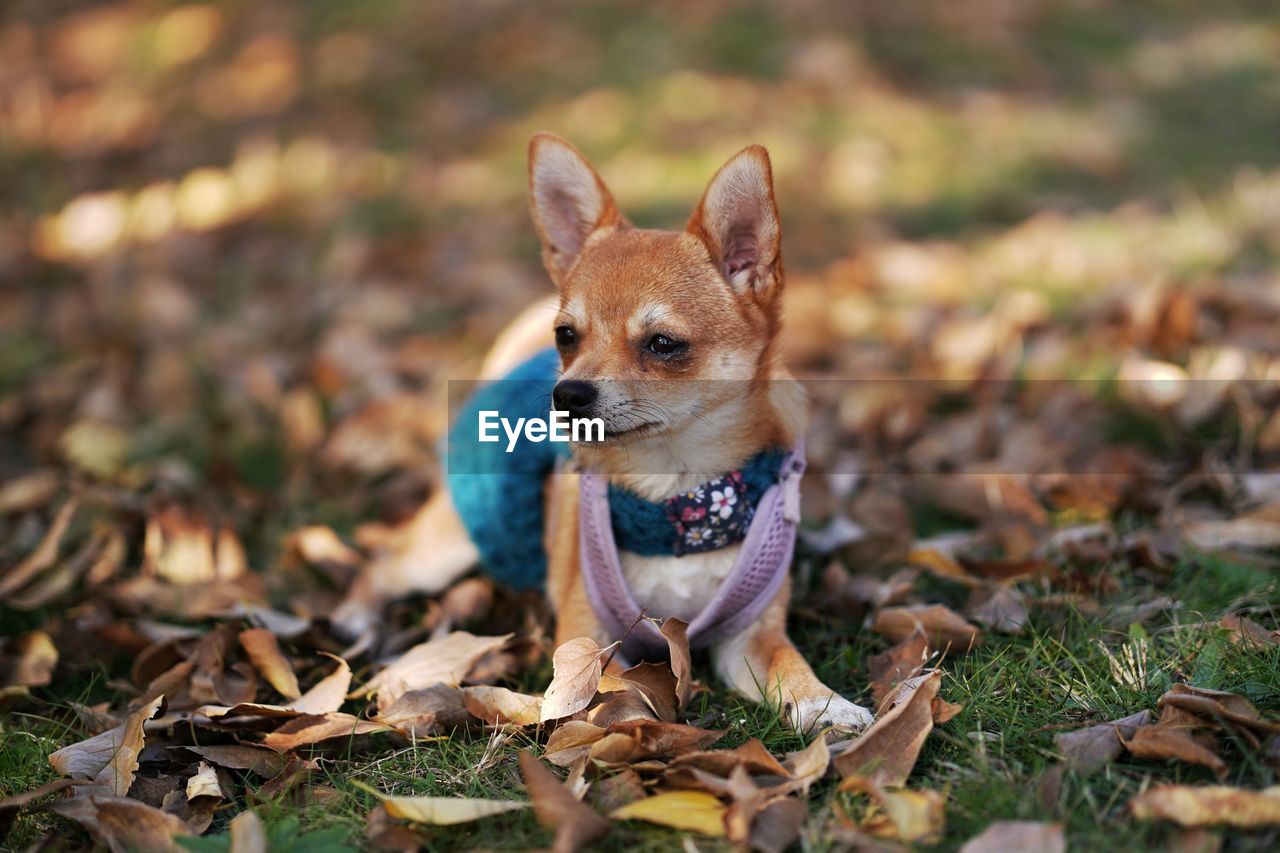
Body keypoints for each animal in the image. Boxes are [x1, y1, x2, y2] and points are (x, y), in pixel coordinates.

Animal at [330, 133, 875, 732]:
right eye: (566, 336)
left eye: (663, 344)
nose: (567, 393)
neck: (674, 492)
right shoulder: (586, 644)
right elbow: (619, 685)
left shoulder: (751, 637)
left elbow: (789, 664)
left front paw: (825, 704)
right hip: (442, 550)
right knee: (385, 564)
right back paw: (355, 615)